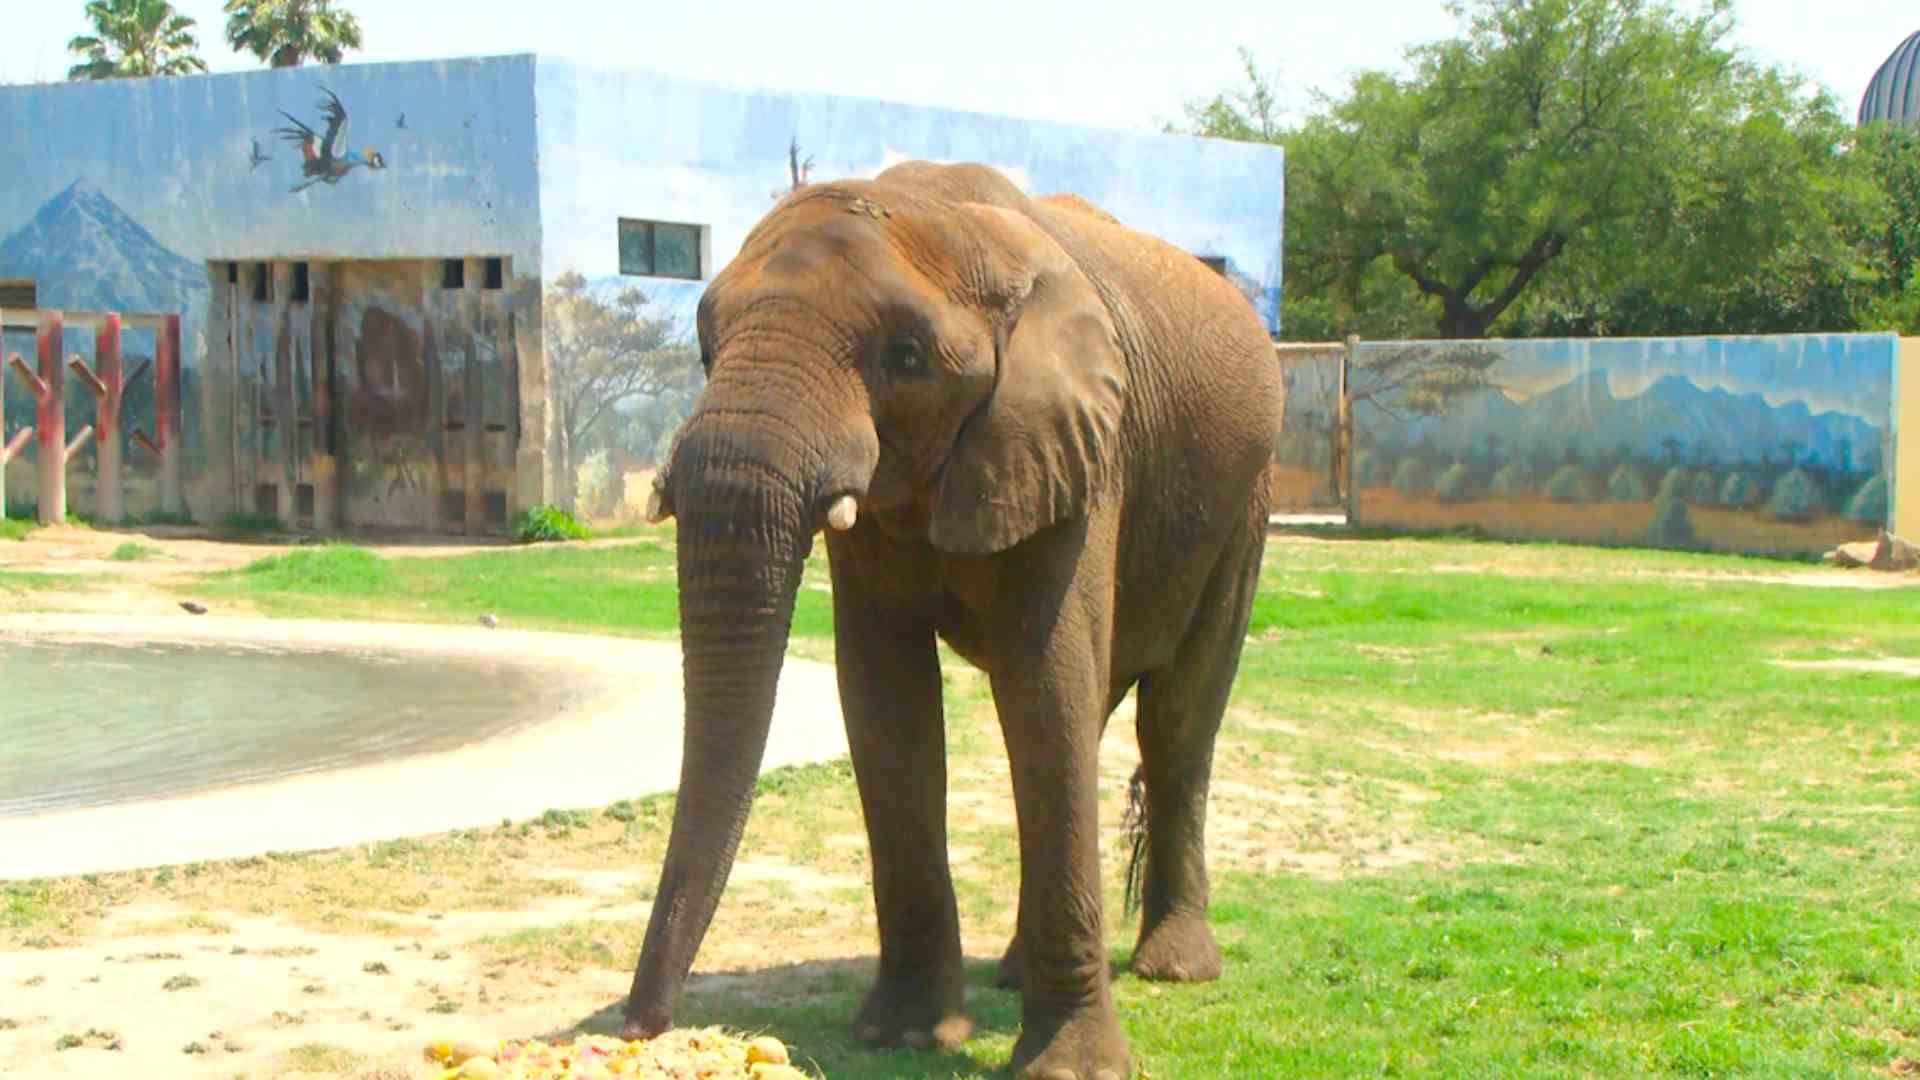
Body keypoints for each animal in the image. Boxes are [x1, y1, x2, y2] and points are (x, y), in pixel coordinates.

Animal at [629, 159, 1282, 1076]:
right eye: (704, 350)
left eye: (904, 357)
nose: (643, 1026)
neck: (945, 217)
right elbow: (886, 697)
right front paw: (904, 1035)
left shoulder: (1079, 446)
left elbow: (1045, 681)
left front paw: (1069, 1068)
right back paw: (1012, 971)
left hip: (1245, 499)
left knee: (1179, 717)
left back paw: (1175, 968)